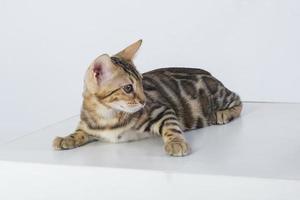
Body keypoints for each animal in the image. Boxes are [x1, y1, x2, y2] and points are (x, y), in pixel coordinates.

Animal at [52, 39, 243, 157]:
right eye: (128, 88)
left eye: (142, 83)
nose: (144, 101)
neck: (107, 116)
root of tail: (209, 73)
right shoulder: (89, 127)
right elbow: (79, 132)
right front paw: (66, 138)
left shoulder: (162, 111)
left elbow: (172, 128)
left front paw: (176, 142)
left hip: (219, 97)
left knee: (238, 100)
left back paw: (223, 114)